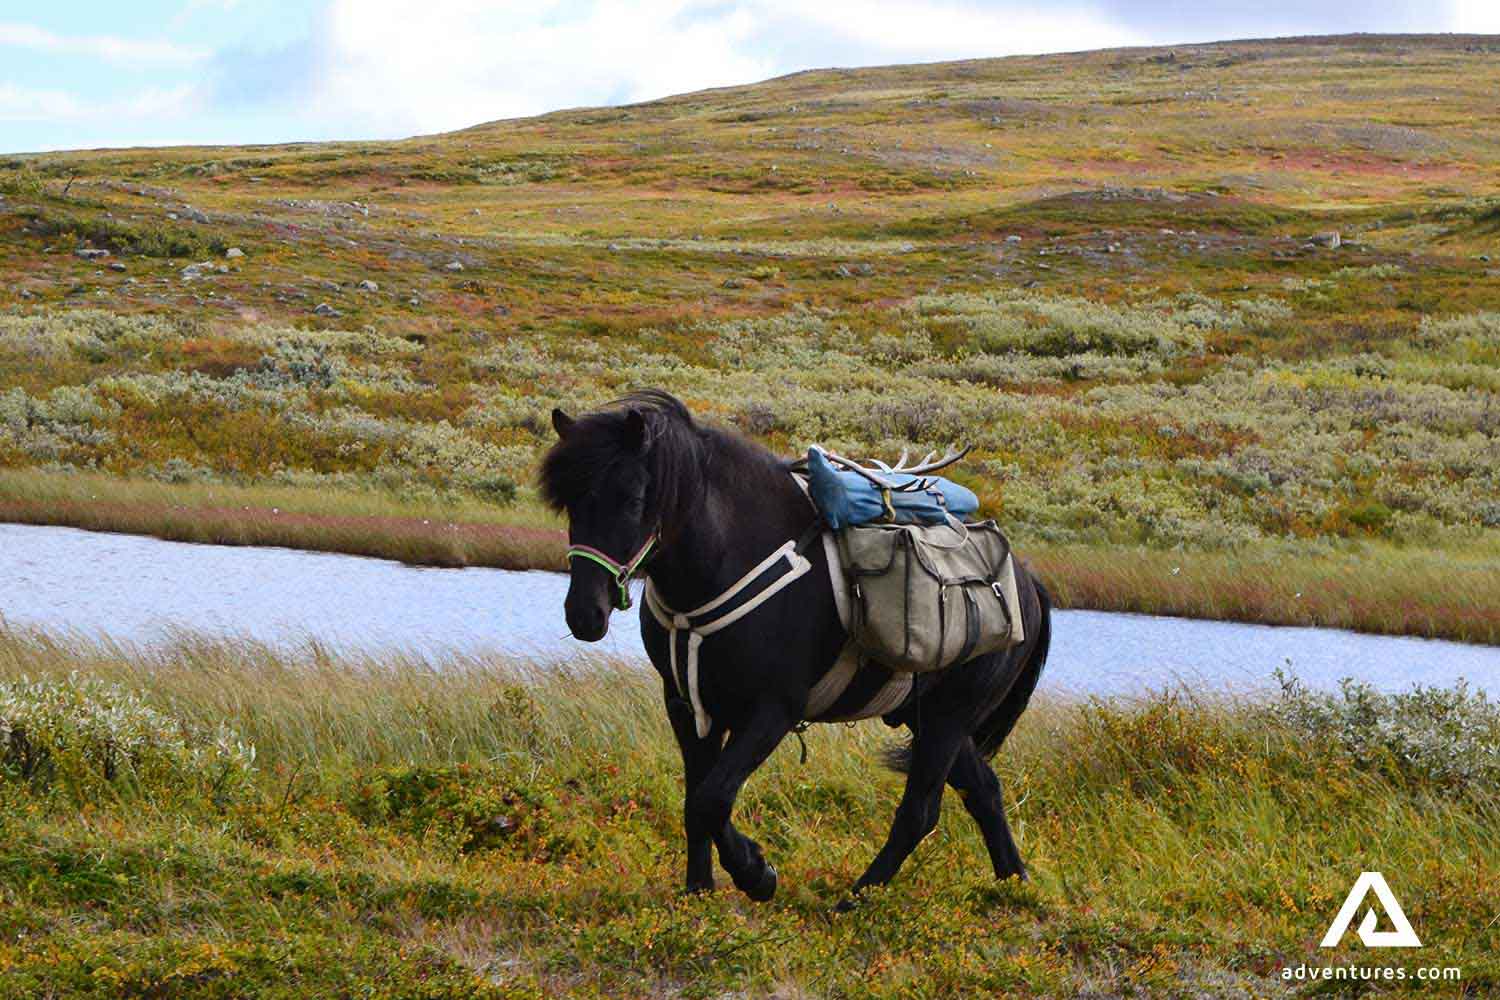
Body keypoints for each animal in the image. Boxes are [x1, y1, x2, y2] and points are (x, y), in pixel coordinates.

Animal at [540, 390, 1052, 903]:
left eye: (632, 498)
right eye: (568, 503)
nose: (585, 614)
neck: (725, 562)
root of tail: (1026, 582)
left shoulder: (774, 710)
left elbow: (712, 799)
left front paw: (756, 873)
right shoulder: (687, 705)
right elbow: (695, 802)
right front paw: (699, 891)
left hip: (948, 719)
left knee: (920, 812)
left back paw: (856, 899)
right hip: (927, 715)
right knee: (983, 791)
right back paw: (1017, 884)